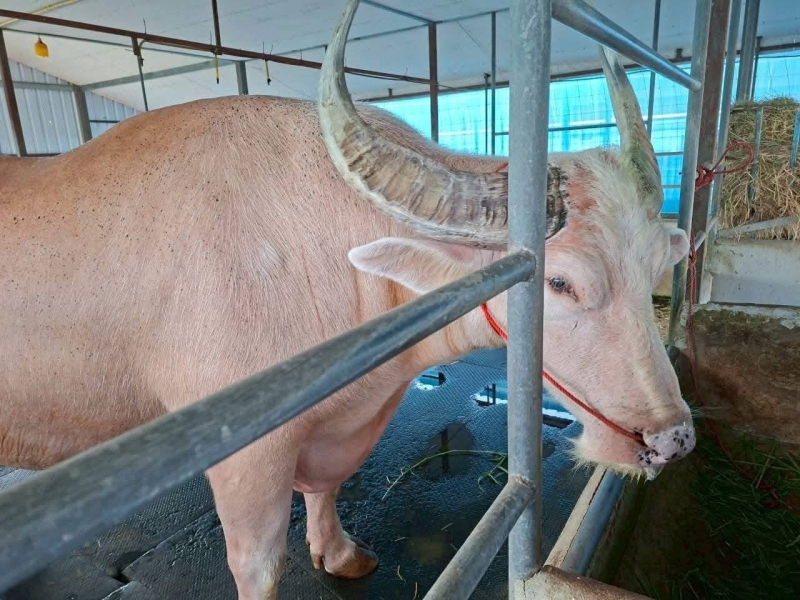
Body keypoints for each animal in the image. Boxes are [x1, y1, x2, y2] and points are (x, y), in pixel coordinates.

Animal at [0, 0, 694, 598]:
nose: (672, 440)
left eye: (657, 267)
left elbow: (328, 487)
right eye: (559, 282)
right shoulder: (246, 457)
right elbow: (259, 566)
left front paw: (338, 553)